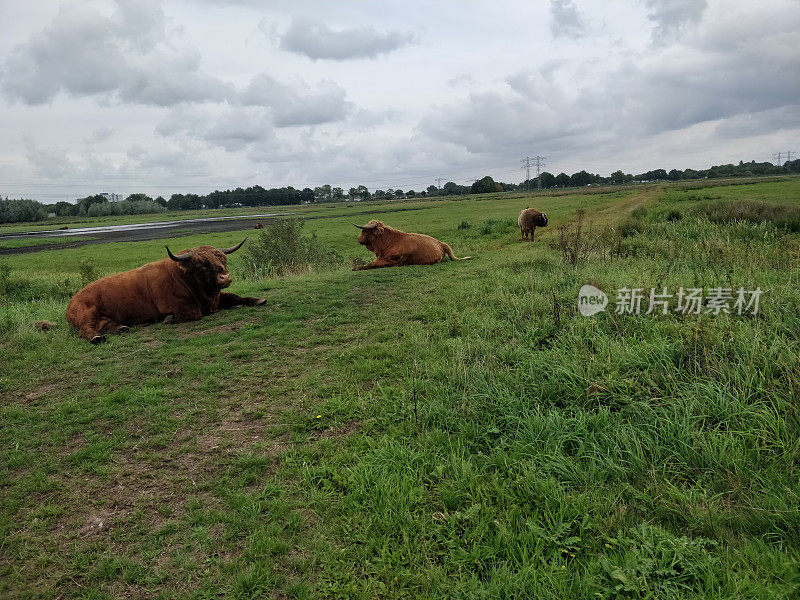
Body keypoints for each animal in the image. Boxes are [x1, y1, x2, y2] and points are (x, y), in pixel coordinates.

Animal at [65, 238, 264, 342]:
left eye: (223, 258)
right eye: (201, 264)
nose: (225, 277)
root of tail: (72, 301)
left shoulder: (218, 297)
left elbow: (235, 297)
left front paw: (257, 300)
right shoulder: (177, 305)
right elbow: (194, 312)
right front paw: (168, 319)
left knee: (106, 325)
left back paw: (122, 328)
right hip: (87, 315)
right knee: (87, 330)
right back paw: (96, 337)